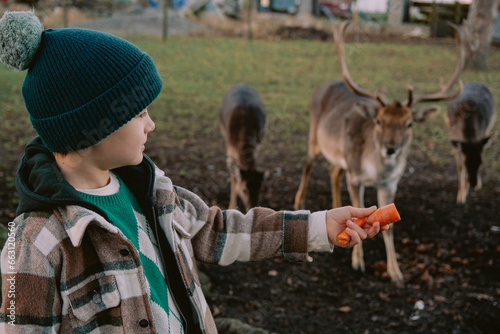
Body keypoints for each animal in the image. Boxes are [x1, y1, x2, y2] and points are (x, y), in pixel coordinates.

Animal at [220, 85, 268, 213]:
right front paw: (231, 206)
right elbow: (233, 176)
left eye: (261, 189)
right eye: (243, 190)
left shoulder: (257, 144)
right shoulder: (230, 147)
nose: (253, 207)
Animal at [292, 20, 464, 282]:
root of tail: (323, 87)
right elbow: (357, 213)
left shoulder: (390, 184)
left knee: (333, 170)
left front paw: (396, 273)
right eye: (379, 121)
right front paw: (357, 262)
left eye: (409, 123)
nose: (390, 148)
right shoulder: (355, 176)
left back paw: (334, 204)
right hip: (314, 138)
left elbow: (390, 228)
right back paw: (298, 202)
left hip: (339, 155)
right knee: (308, 165)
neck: (375, 171)